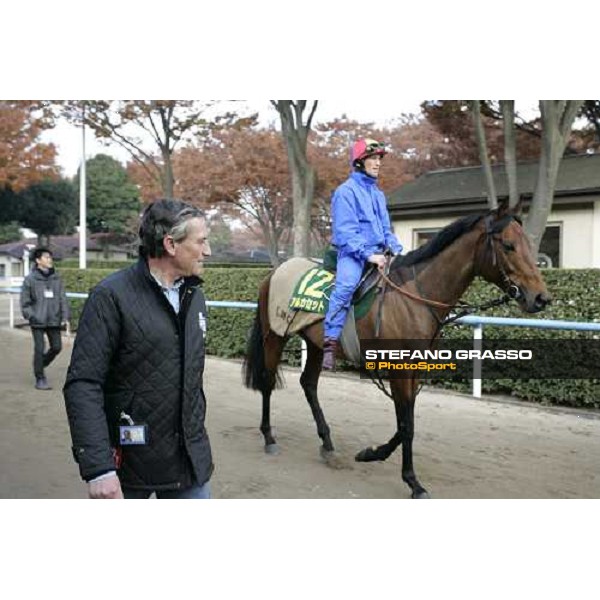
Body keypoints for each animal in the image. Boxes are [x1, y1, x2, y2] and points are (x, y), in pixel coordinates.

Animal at [241, 204, 552, 500]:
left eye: (529, 244)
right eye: (508, 245)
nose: (541, 298)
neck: (416, 297)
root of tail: (274, 271)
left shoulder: (414, 371)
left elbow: (406, 423)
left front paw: (371, 453)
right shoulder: (399, 371)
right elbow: (406, 426)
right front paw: (413, 482)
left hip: (317, 345)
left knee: (308, 384)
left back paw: (327, 445)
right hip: (274, 335)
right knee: (268, 381)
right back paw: (269, 439)